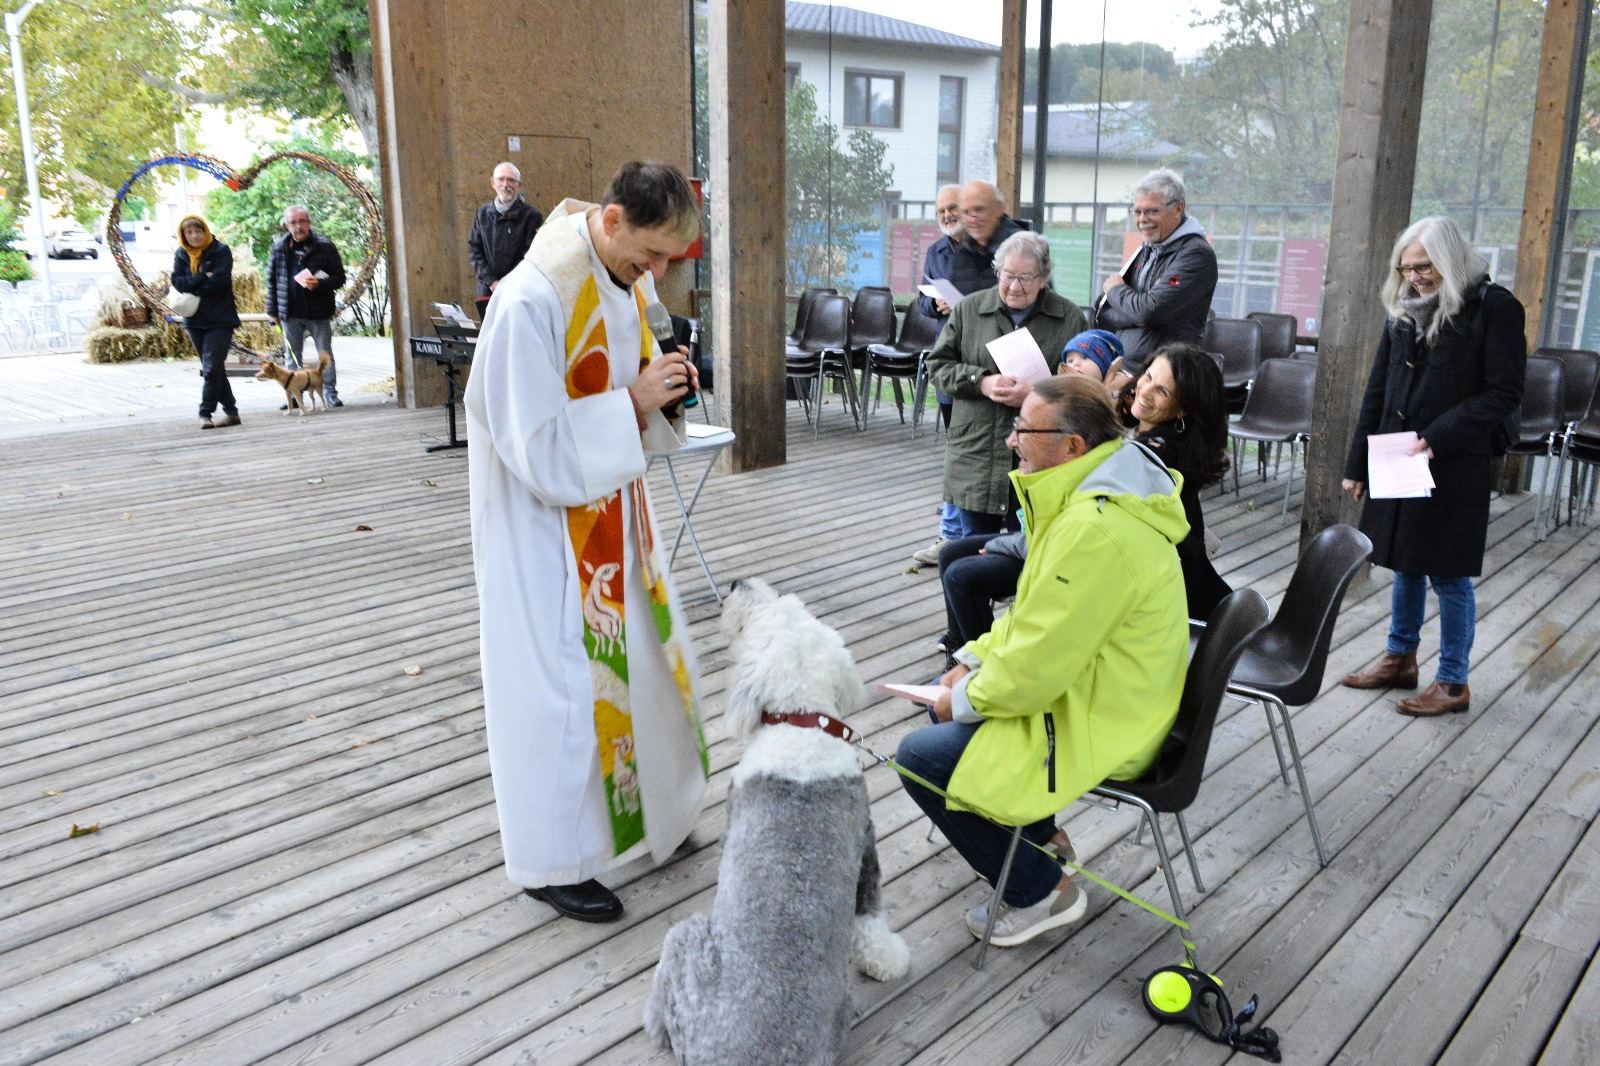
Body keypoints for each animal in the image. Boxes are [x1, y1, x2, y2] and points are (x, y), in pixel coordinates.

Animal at [644, 578, 910, 1066]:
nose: (737, 583)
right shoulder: (866, 843)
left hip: (684, 937)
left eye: (767, 614)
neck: (800, 726)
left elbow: (870, 916)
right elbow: (871, 915)